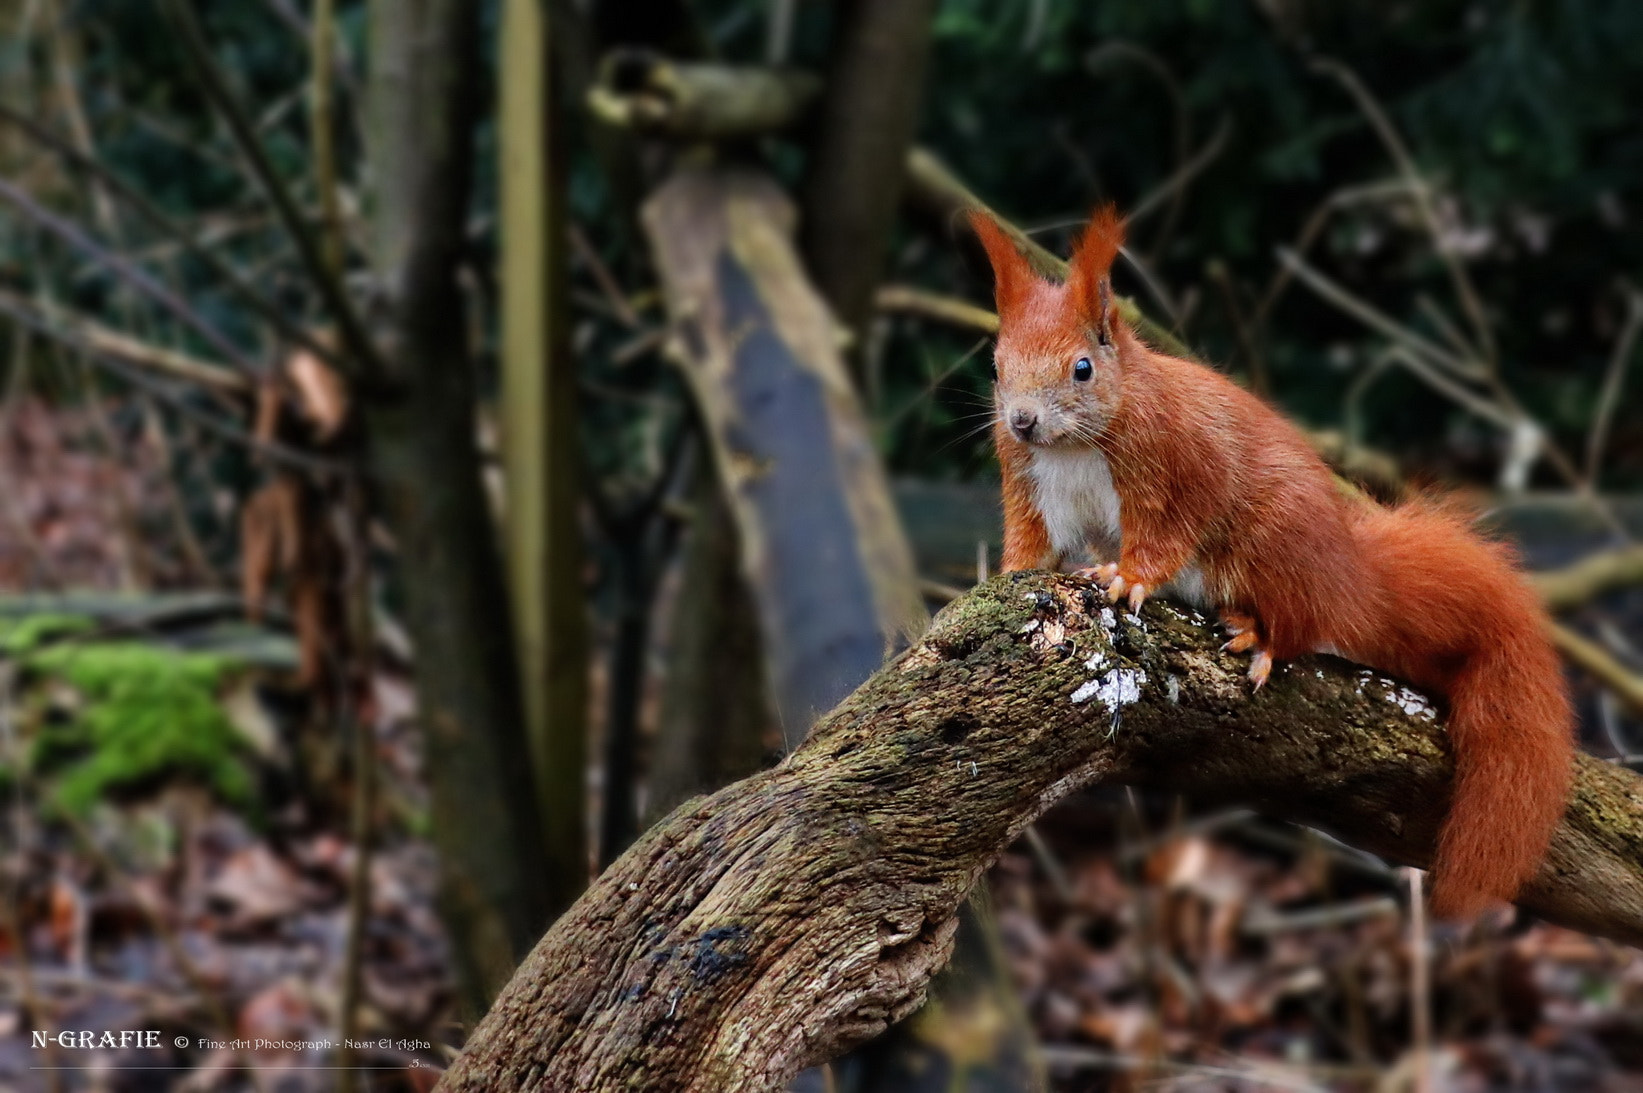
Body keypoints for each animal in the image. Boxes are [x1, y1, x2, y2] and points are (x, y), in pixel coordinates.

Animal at [969, 205, 1574, 918]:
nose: (1022, 420)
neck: (1073, 445)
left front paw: (1129, 577)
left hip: (1275, 545)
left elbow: (1168, 533)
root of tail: (1351, 579)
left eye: (1083, 368)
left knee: (1301, 626)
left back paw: (1258, 633)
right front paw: (1007, 576)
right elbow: (1033, 543)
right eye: (996, 367)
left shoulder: (1180, 467)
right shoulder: (1029, 484)